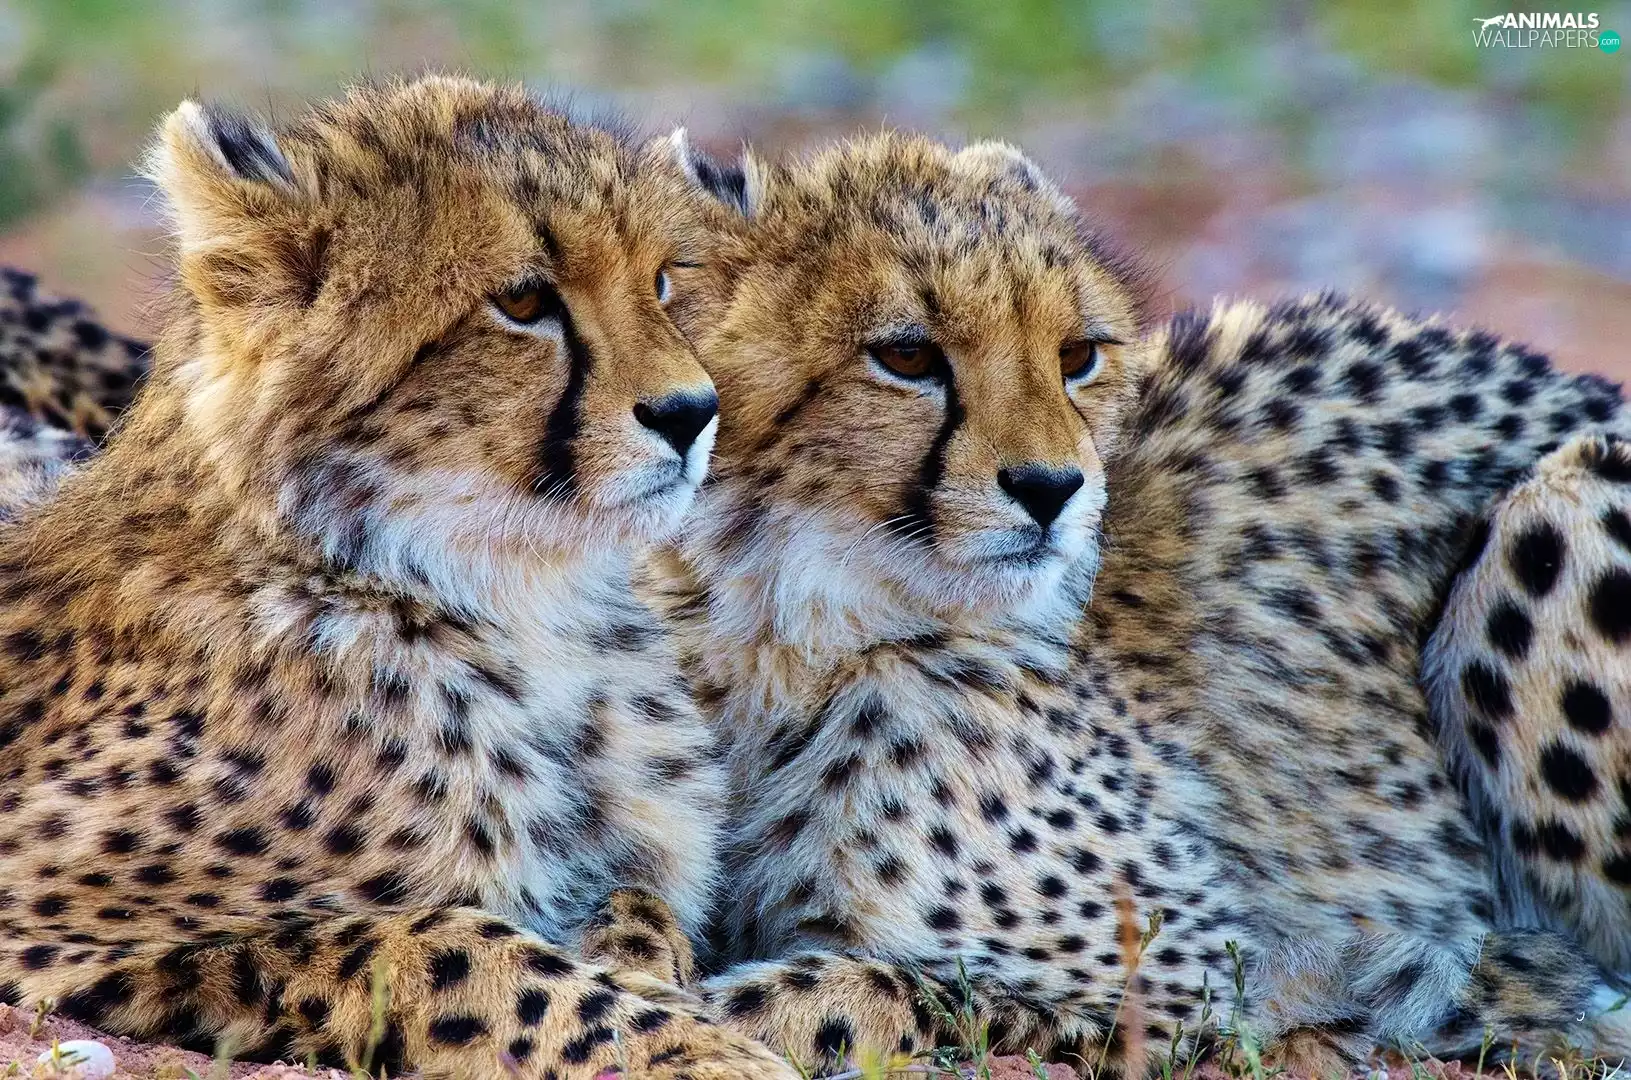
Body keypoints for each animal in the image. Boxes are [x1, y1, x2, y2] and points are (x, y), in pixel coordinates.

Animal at [0, 75, 799, 1080]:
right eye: (524, 301)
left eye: (661, 281)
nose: (694, 412)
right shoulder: (45, 913)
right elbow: (437, 936)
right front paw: (695, 1048)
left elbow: (637, 905)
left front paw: (660, 982)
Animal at [632, 132, 1631, 1075]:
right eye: (906, 355)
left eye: (1077, 355)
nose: (1052, 488)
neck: (784, 625)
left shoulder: (1207, 973)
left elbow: (854, 989)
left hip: (1563, 512)